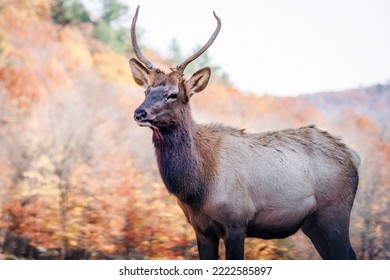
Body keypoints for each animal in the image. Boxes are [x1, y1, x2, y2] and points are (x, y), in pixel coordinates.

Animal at [130, 7, 360, 260]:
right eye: (146, 91)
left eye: (173, 94)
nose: (139, 113)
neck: (197, 188)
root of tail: (353, 156)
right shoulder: (201, 229)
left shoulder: (236, 223)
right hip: (313, 224)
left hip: (334, 213)